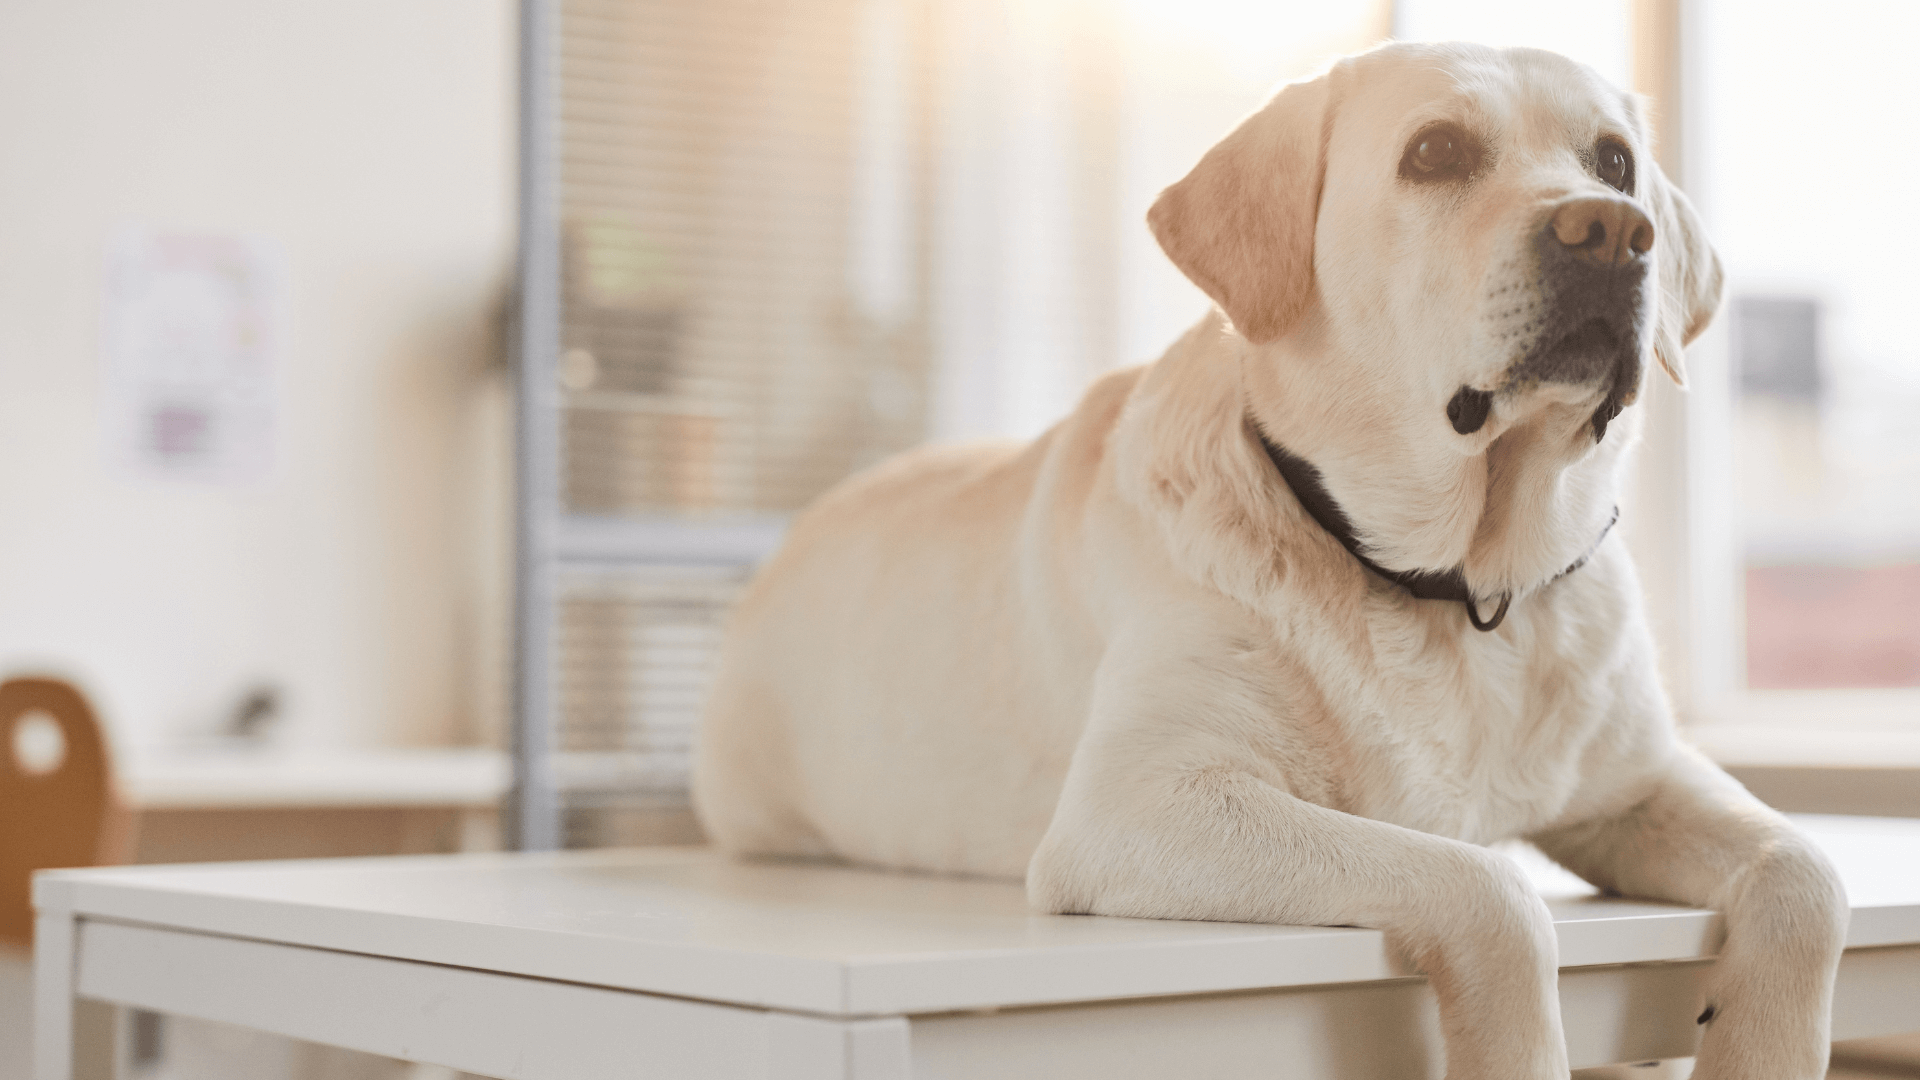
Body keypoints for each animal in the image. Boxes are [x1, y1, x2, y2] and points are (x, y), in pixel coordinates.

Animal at [695, 37, 1843, 1068]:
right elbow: (1490, 884)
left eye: (1613, 161)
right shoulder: (1142, 806)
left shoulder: (1641, 782)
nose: (1611, 230)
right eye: (1434, 152)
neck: (1458, 585)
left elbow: (1810, 875)